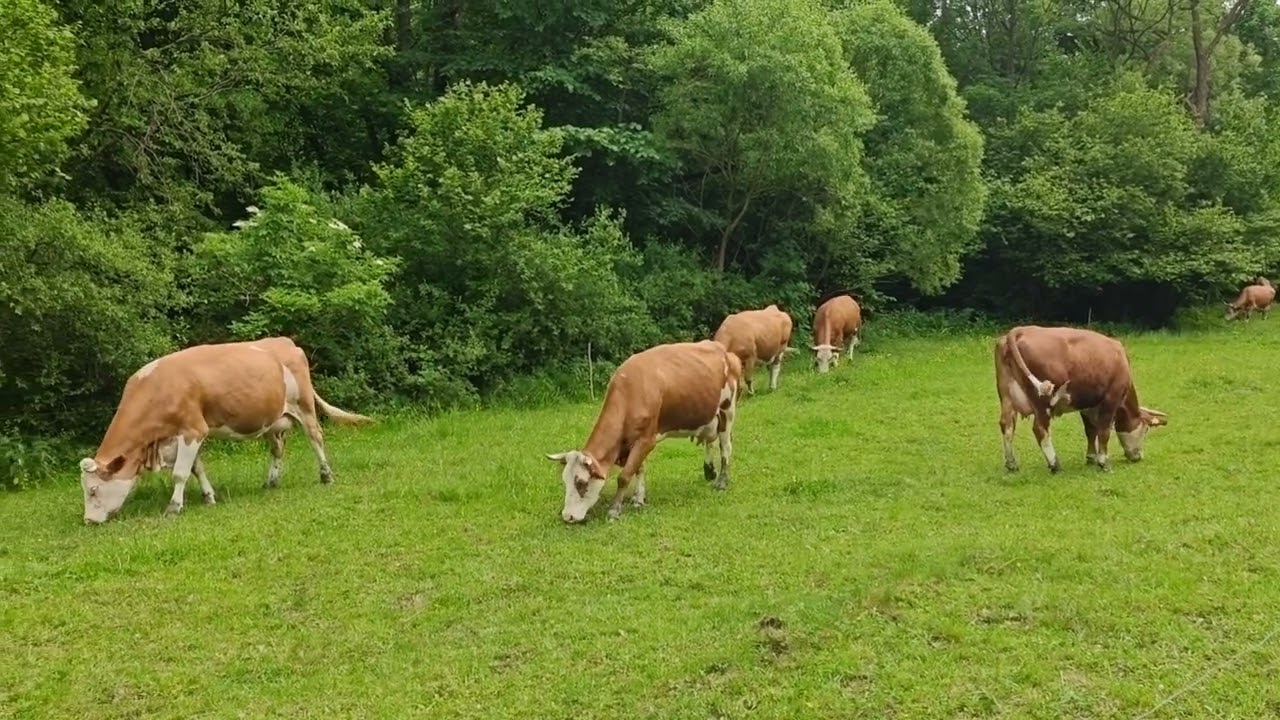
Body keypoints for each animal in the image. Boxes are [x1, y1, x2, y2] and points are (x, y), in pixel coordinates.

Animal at [79, 337, 373, 524]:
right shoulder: (185, 435)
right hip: (273, 419)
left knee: (315, 438)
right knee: (277, 448)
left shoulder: (193, 429)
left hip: (303, 405)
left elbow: (180, 473)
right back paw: (271, 481)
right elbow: (197, 469)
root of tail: (285, 342)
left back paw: (326, 475)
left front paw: (174, 507)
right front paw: (209, 497)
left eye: (92, 490)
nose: (89, 521)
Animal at [546, 340, 743, 524]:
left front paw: (614, 510)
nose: (567, 516)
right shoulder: (635, 442)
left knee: (726, 447)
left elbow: (625, 475)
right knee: (711, 441)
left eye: (581, 482)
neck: (629, 393)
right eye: (565, 481)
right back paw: (709, 471)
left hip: (727, 411)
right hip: (709, 416)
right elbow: (639, 469)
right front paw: (638, 499)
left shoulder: (647, 440)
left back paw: (721, 482)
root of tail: (723, 350)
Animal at [994, 325, 1168, 474]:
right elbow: (1103, 431)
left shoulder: (1088, 405)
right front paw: (1103, 462)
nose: (1139, 456)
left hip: (1007, 396)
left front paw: (1091, 457)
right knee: (1040, 429)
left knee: (1007, 425)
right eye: (1146, 430)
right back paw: (1054, 464)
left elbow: (1091, 430)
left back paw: (1011, 464)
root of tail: (1021, 330)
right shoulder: (1111, 398)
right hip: (1043, 402)